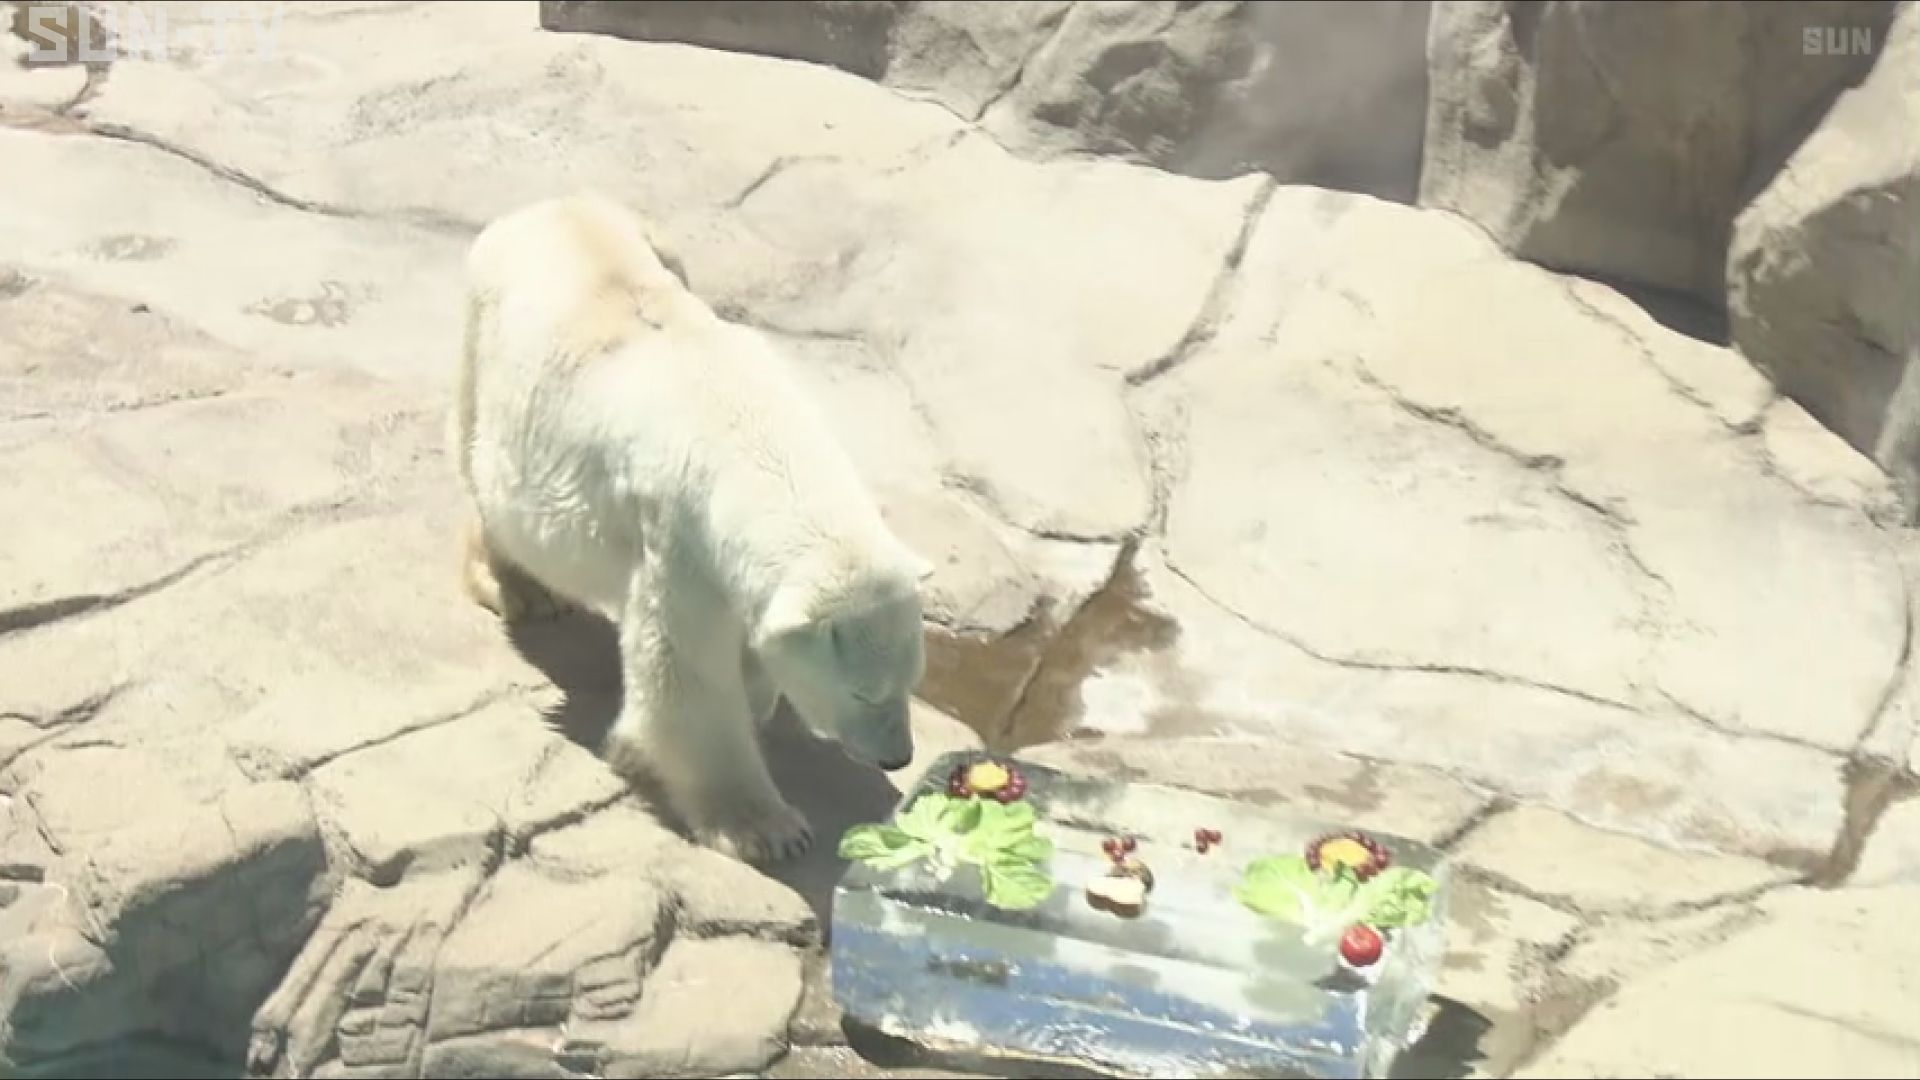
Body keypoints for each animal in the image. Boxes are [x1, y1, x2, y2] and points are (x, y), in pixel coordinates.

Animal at [452, 192, 933, 864]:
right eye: (865, 692)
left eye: (912, 679)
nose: (897, 757)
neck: (752, 432)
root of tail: (554, 203)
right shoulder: (679, 535)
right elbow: (688, 680)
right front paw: (767, 829)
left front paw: (759, 695)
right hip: (488, 345)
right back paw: (520, 587)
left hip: (667, 251)